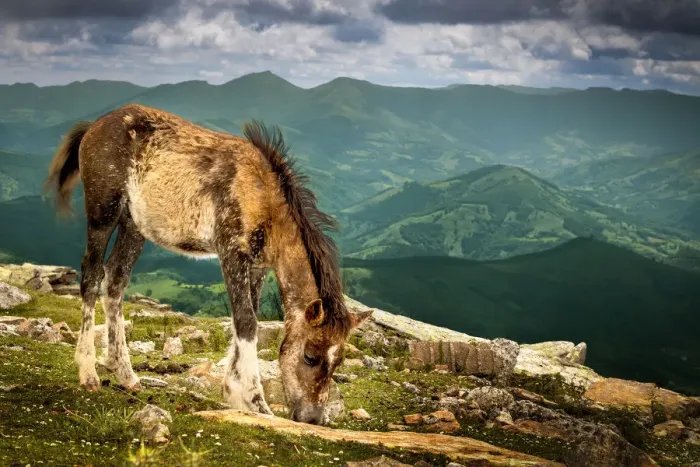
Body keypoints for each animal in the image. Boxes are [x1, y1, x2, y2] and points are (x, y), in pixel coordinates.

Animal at [43, 104, 372, 425]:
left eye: (338, 361)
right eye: (309, 357)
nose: (313, 418)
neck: (262, 197)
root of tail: (94, 126)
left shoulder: (258, 266)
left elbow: (246, 318)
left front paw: (235, 394)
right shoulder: (231, 252)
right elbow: (246, 321)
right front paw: (256, 401)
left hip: (133, 224)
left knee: (116, 280)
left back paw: (126, 374)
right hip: (104, 211)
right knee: (92, 275)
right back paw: (88, 373)